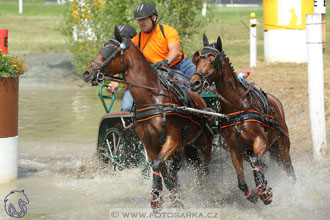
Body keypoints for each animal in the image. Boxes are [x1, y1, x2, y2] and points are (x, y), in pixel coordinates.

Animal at [82, 27, 211, 210]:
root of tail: (201, 101)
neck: (153, 98)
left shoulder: (172, 140)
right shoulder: (150, 144)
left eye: (110, 51)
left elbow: (157, 165)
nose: (87, 73)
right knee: (177, 168)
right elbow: (162, 170)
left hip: (203, 144)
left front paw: (158, 200)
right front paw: (171, 199)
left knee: (204, 169)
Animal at [189, 34, 296, 205]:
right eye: (197, 60)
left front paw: (264, 191)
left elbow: (255, 160)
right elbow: (241, 180)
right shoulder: (234, 149)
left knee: (288, 169)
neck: (238, 106)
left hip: (282, 148)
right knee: (263, 164)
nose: (195, 83)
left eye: (213, 61)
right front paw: (252, 194)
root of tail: (276, 101)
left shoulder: (261, 140)